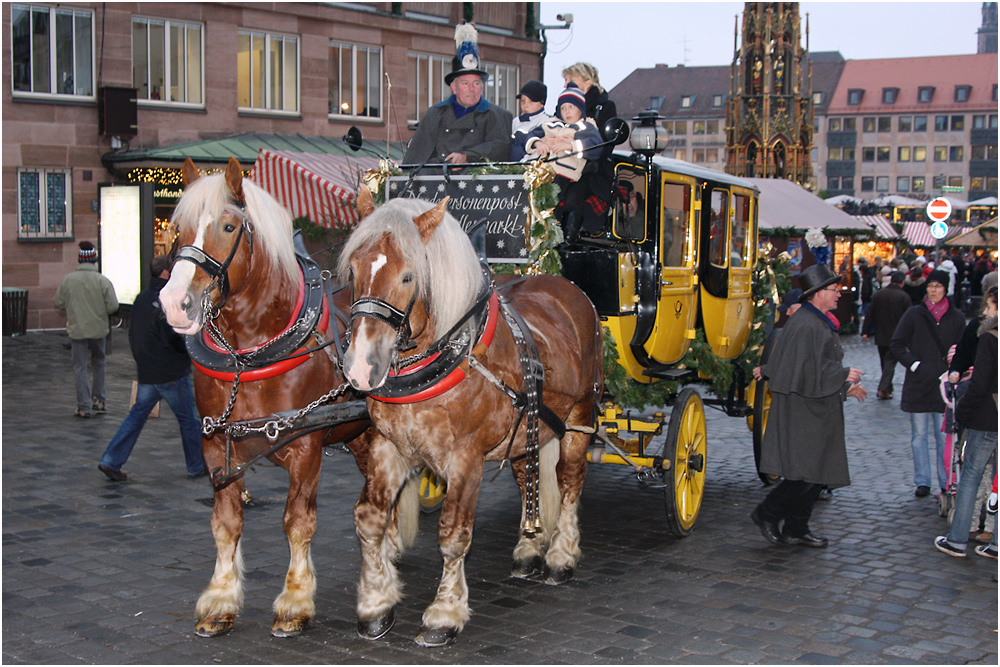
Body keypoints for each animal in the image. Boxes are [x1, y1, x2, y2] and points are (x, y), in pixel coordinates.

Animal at [160, 159, 378, 640]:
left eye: (228, 226)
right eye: (178, 227)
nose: (173, 302)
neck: (252, 353)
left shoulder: (306, 445)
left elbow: (297, 522)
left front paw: (295, 602)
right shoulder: (216, 444)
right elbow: (225, 524)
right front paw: (220, 600)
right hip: (360, 435)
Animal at [338, 188, 600, 648]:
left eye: (408, 277)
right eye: (353, 270)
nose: (360, 368)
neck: (446, 360)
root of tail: (562, 285)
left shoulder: (465, 462)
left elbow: (453, 534)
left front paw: (444, 614)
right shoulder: (388, 448)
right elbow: (369, 519)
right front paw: (375, 604)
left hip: (579, 416)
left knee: (569, 481)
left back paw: (560, 555)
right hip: (529, 430)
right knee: (528, 477)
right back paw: (529, 549)